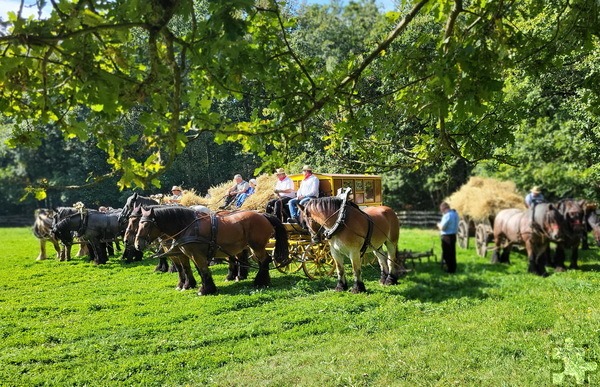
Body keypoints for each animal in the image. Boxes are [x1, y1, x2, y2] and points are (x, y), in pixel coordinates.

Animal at [134, 208, 288, 296]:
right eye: (139, 223)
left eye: (146, 225)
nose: (137, 244)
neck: (188, 227)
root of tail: (262, 214)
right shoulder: (189, 254)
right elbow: (192, 269)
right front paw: (190, 285)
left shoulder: (196, 255)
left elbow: (203, 270)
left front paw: (205, 290)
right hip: (251, 246)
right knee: (260, 260)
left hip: (257, 245)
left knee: (264, 260)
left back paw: (260, 281)